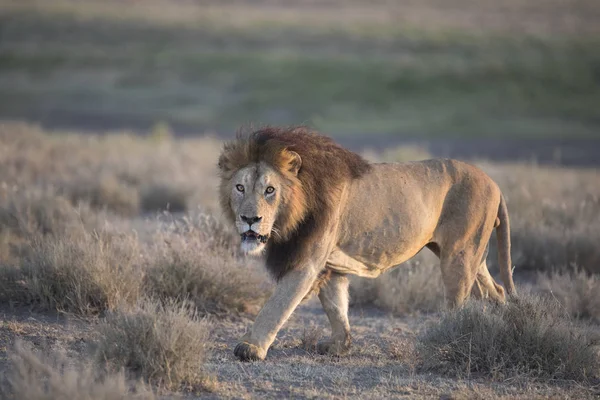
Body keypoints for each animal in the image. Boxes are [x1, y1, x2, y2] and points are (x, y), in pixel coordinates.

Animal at [217, 126, 516, 362]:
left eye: (270, 190)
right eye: (240, 188)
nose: (250, 219)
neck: (296, 208)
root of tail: (494, 183)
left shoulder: (306, 263)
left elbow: (276, 305)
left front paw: (250, 347)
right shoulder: (330, 266)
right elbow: (336, 306)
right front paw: (339, 346)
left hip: (458, 256)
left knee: (459, 303)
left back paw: (451, 340)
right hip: (472, 254)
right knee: (496, 290)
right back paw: (502, 329)